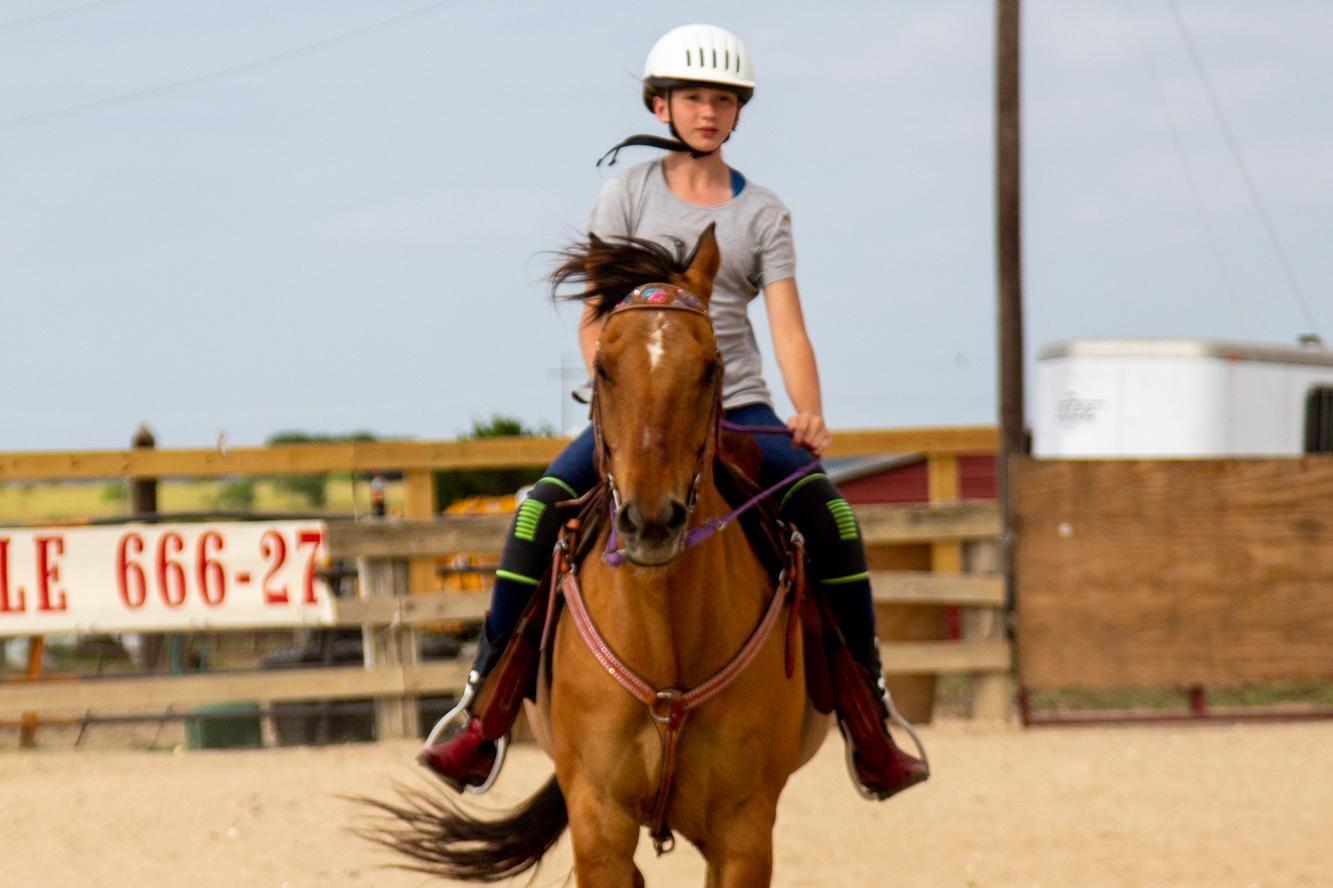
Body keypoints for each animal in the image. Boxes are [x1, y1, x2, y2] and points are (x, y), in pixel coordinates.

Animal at [359, 222, 826, 885]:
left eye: (710, 366)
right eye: (604, 367)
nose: (650, 520)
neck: (667, 646)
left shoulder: (744, 831)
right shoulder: (599, 823)